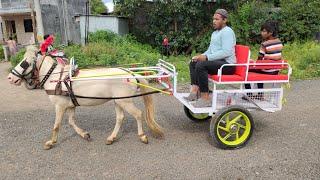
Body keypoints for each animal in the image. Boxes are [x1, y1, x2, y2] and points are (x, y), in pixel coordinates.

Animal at [7, 45, 162, 150]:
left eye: (25, 62)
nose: (10, 78)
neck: (55, 78)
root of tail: (131, 73)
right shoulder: (70, 105)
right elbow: (71, 122)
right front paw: (84, 134)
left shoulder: (59, 106)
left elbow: (56, 126)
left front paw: (51, 143)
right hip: (119, 101)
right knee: (120, 118)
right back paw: (111, 138)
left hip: (125, 101)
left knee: (138, 114)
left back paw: (142, 136)